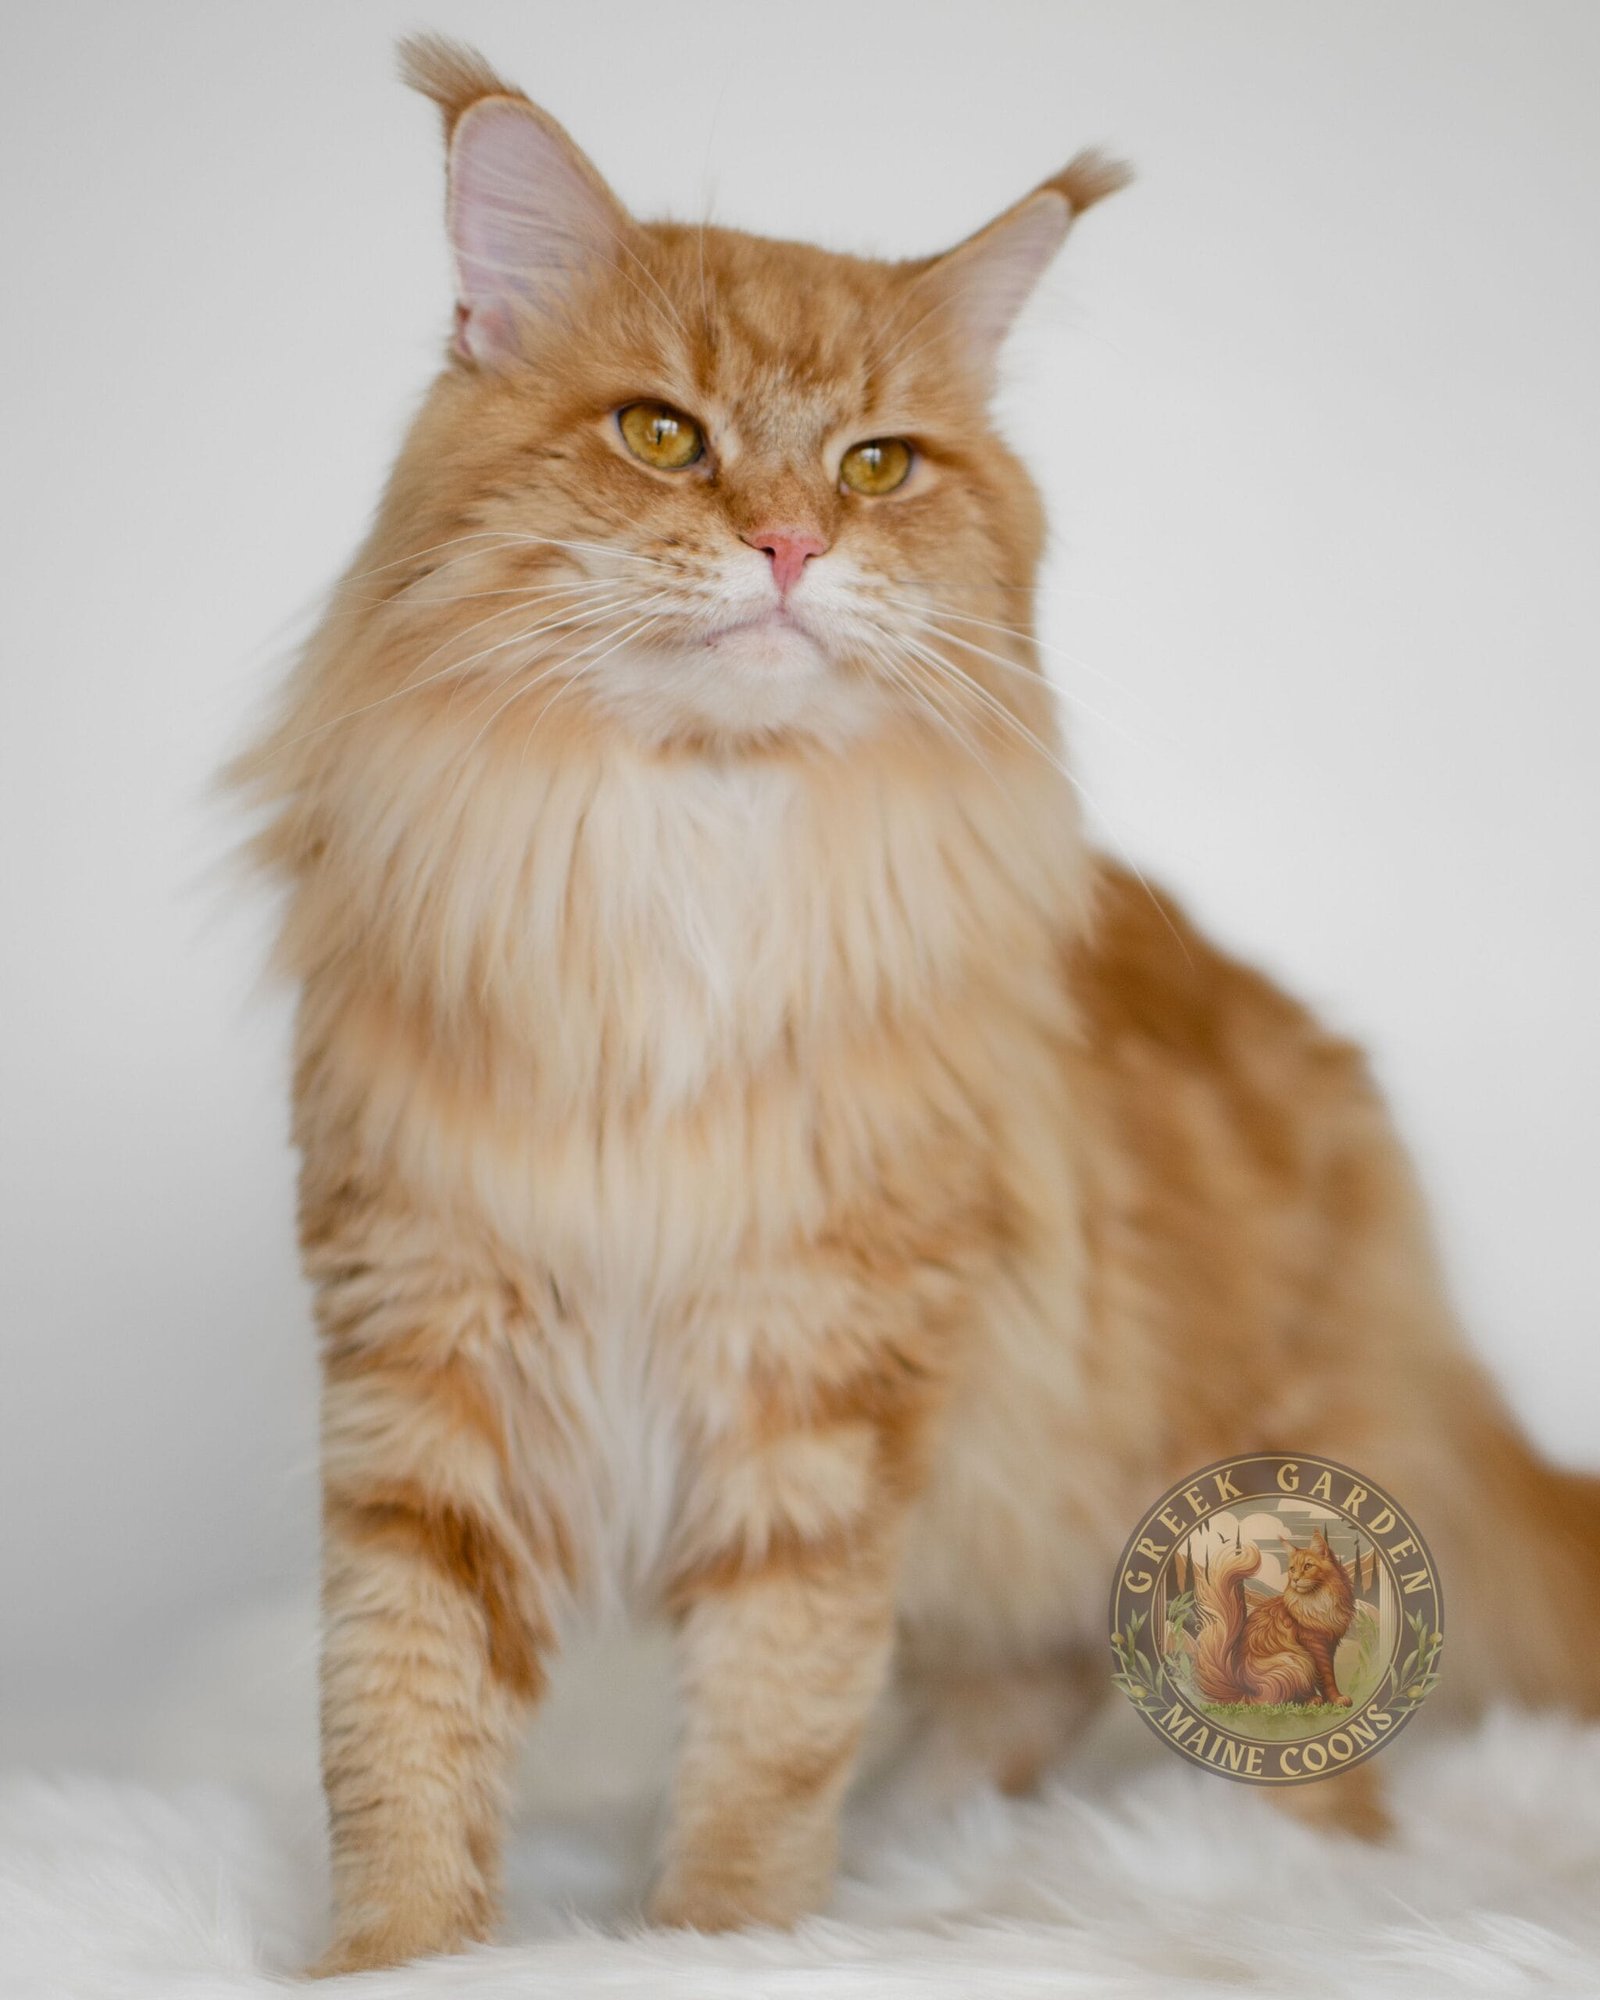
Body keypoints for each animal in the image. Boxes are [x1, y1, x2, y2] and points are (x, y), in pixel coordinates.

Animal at [234, 39, 1600, 1976]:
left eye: (879, 465)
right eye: (665, 434)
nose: (793, 543)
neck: (693, 866)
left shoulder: (824, 1390)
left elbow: (767, 1727)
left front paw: (719, 1944)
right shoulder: (425, 1358)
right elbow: (398, 1720)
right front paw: (397, 1963)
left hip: (1247, 1466)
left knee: (1320, 1738)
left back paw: (1251, 1857)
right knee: (1029, 1678)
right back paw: (928, 1829)